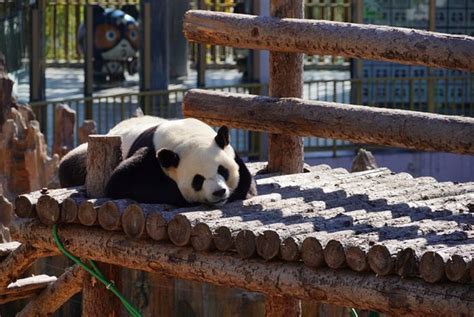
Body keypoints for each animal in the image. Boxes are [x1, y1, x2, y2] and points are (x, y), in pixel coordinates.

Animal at [61, 115, 260, 206]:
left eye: (222, 170)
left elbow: (246, 180)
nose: (219, 192)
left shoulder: (231, 152)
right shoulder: (151, 155)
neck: (187, 137)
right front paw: (179, 195)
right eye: (198, 180)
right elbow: (121, 181)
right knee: (68, 165)